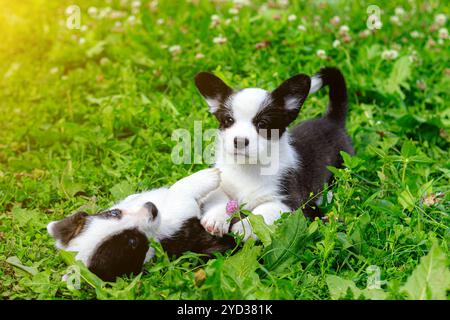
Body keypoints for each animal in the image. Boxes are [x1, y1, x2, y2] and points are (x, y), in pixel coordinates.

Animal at [45, 169, 236, 282]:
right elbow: (179, 188)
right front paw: (209, 176)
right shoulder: (182, 212)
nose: (151, 207)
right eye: (132, 242)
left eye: (114, 213)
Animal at [195, 67, 354, 240]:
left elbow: (261, 214)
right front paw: (216, 219)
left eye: (263, 124)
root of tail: (332, 120)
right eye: (229, 120)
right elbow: (219, 197)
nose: (239, 141)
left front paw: (243, 228)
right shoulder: (222, 185)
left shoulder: (286, 202)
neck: (248, 167)